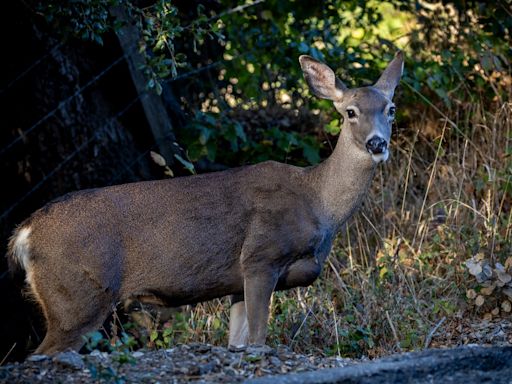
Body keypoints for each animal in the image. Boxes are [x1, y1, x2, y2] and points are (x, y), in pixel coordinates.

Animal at [6, 50, 402, 354]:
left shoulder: (237, 281)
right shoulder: (260, 257)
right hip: (76, 296)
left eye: (391, 109)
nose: (377, 144)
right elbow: (258, 340)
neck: (318, 203)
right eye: (350, 112)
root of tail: (25, 234)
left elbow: (238, 342)